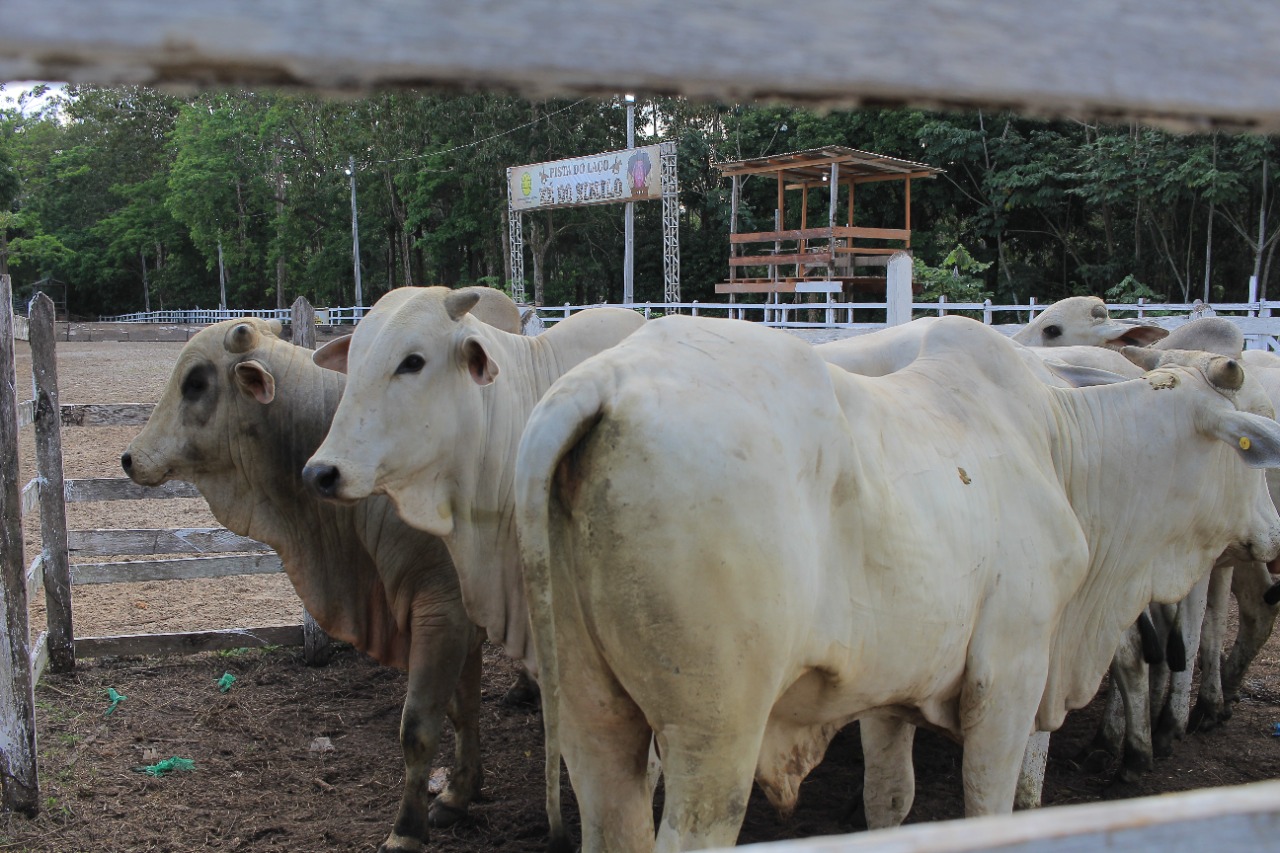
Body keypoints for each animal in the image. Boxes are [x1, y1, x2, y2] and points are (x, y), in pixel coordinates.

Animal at [514, 313, 1280, 850]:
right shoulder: (1010, 678)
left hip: (592, 716)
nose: (1274, 531)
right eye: (1249, 454)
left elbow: (891, 800)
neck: (1061, 450)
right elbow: (987, 806)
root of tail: (603, 383)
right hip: (714, 738)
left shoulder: (888, 692)